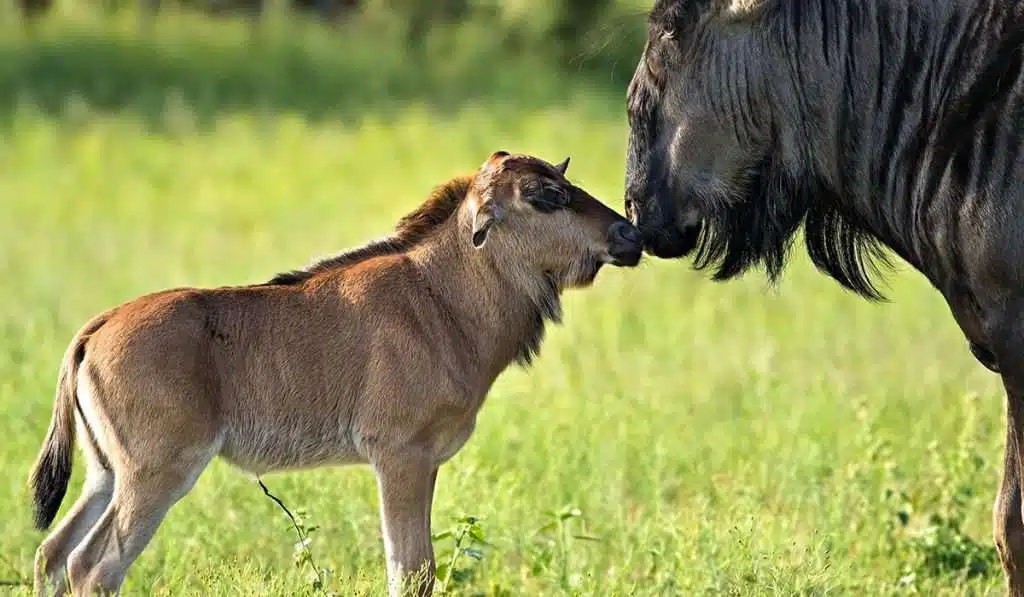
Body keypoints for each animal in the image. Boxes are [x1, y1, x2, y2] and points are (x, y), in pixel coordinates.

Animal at [28, 151, 643, 596]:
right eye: (546, 195)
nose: (629, 234)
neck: (441, 297)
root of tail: (95, 330)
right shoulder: (398, 457)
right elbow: (410, 572)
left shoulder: (427, 462)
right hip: (157, 474)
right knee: (94, 567)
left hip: (106, 473)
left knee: (52, 553)